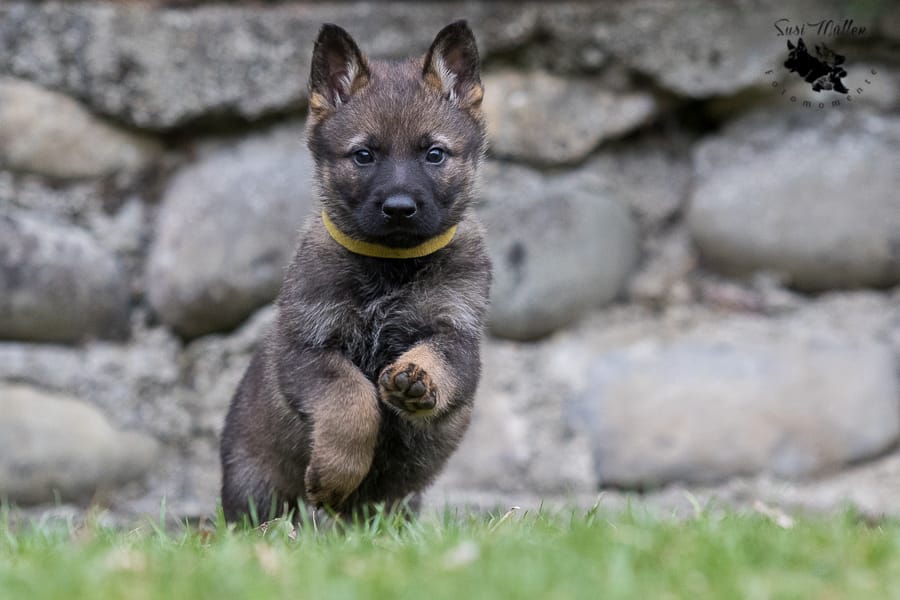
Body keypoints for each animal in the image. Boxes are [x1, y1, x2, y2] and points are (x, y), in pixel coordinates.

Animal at [220, 20, 491, 522]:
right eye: (364, 155)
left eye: (435, 154)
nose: (400, 209)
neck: (391, 269)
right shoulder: (307, 349)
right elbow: (353, 398)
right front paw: (336, 473)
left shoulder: (458, 338)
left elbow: (439, 361)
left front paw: (415, 380)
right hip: (255, 484)